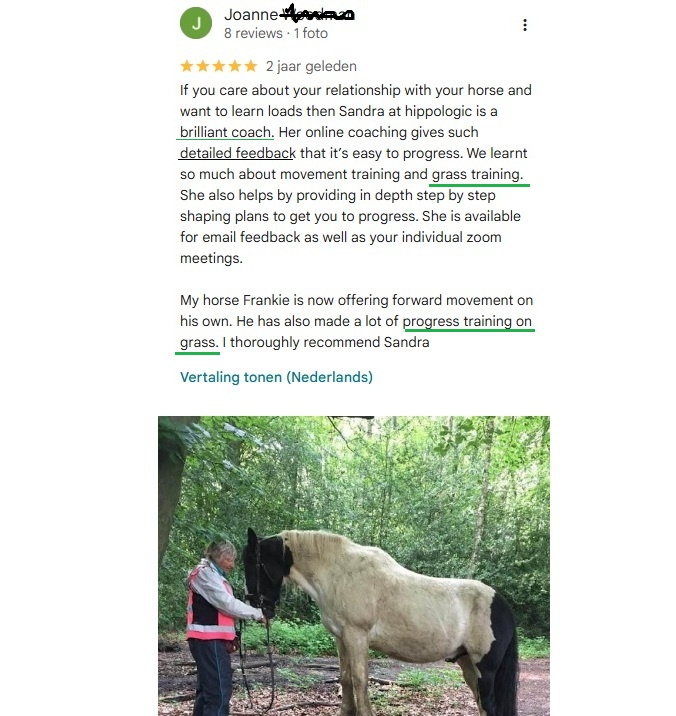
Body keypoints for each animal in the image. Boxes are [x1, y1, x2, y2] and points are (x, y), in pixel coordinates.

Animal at [243, 528, 518, 716]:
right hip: (468, 665)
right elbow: (345, 679)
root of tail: (502, 605)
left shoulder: (356, 637)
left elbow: (360, 680)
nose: (257, 605)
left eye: (253, 564)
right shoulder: (341, 638)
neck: (339, 574)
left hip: (485, 670)